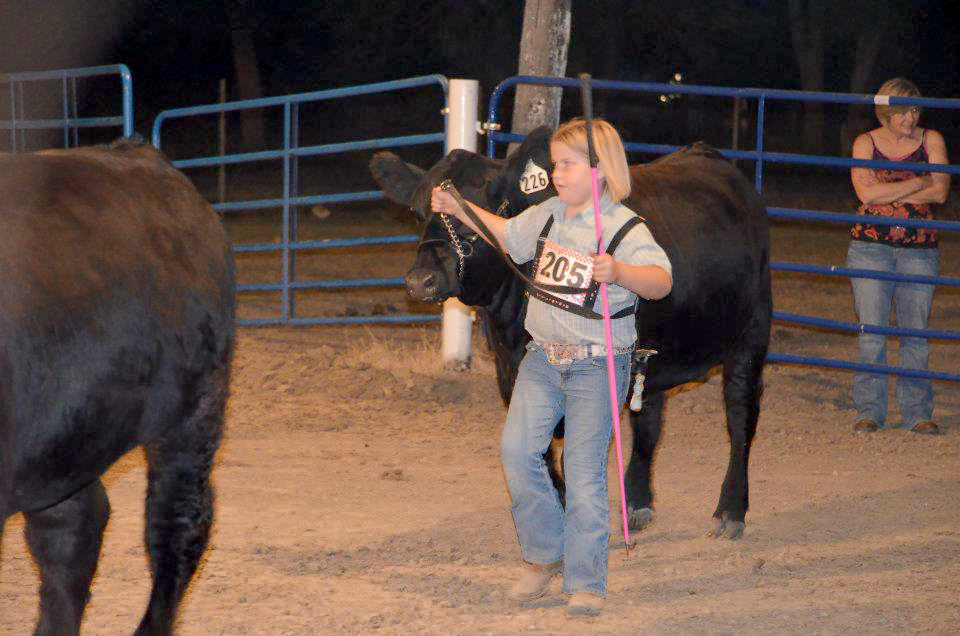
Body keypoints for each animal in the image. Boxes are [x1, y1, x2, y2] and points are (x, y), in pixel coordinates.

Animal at [374, 128, 772, 536]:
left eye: (491, 206)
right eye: (418, 212)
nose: (421, 281)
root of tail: (706, 155)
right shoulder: (511, 374)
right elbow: (544, 454)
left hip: (752, 332)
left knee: (740, 416)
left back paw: (730, 511)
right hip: (653, 354)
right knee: (649, 421)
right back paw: (637, 503)